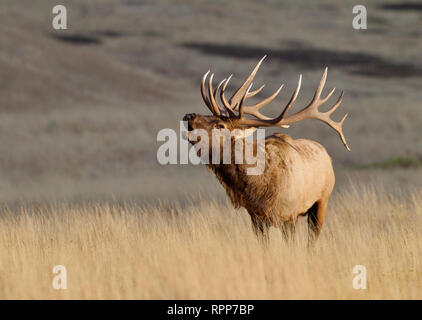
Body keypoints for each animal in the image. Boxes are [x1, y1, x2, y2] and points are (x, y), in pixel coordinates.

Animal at [183, 56, 352, 244]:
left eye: (220, 125)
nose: (189, 116)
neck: (258, 188)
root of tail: (327, 155)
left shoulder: (290, 215)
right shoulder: (256, 217)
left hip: (322, 200)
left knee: (312, 240)